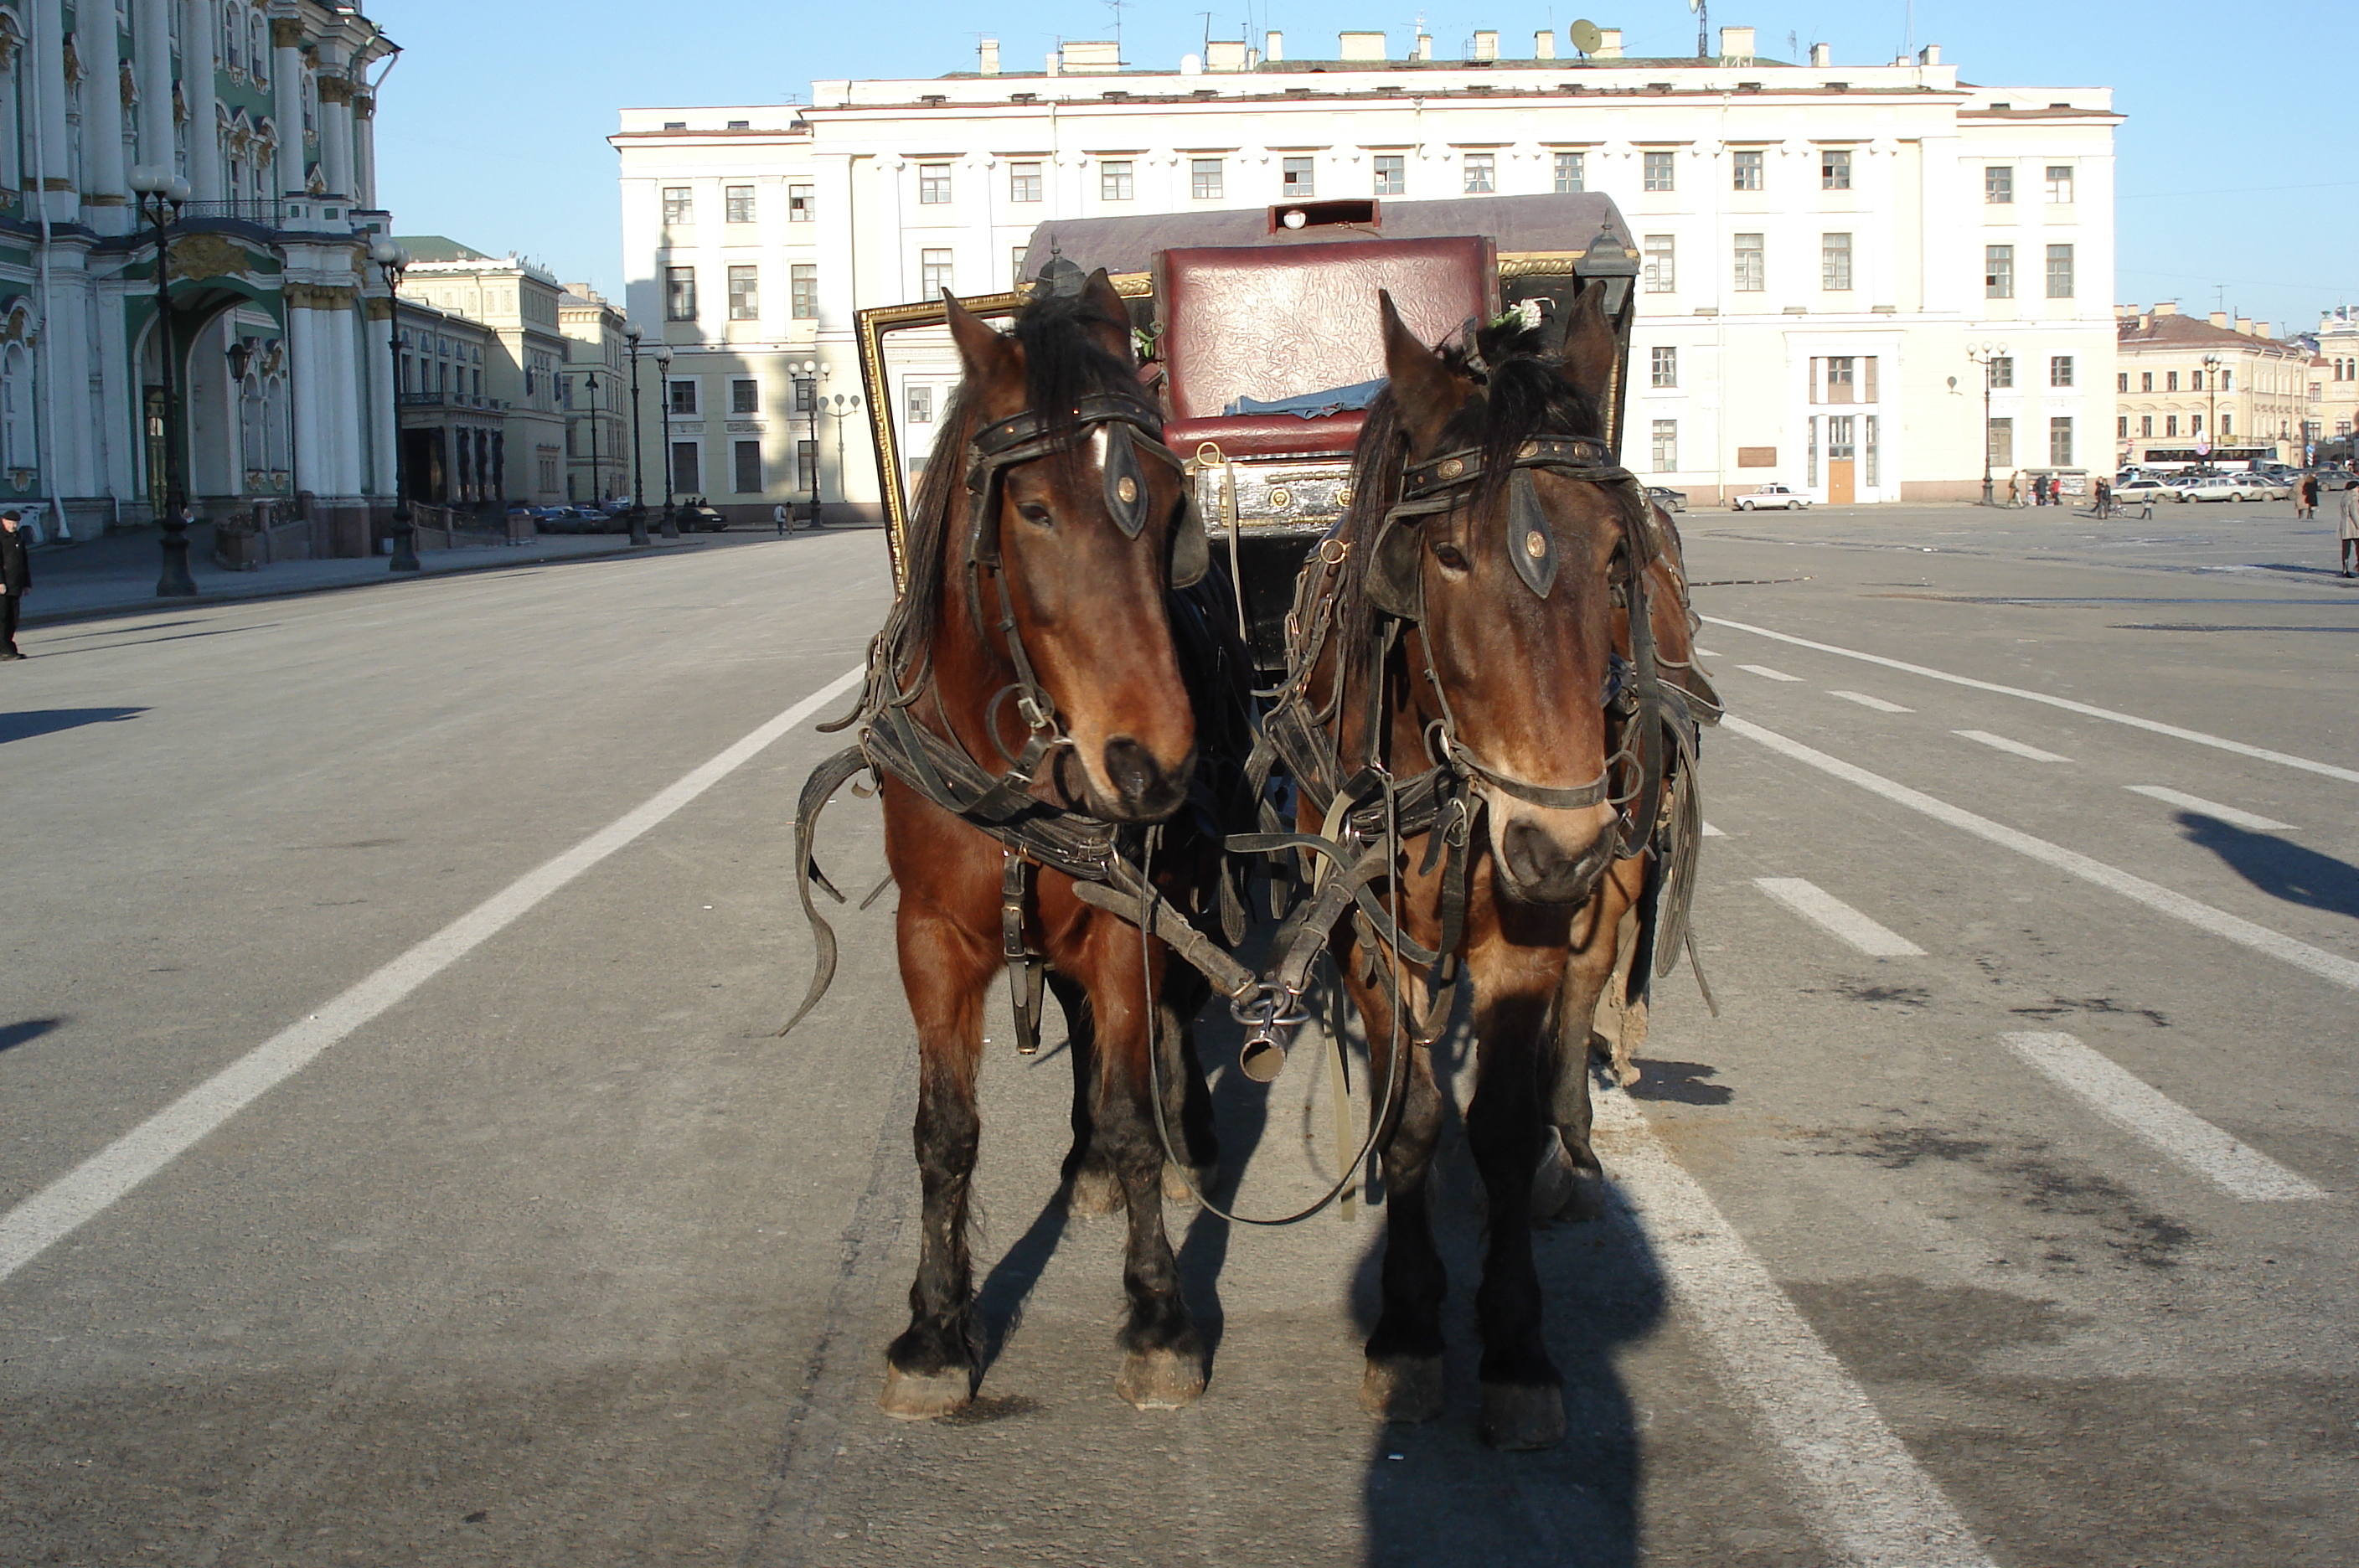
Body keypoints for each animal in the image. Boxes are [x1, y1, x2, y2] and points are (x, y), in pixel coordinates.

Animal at [849, 272, 1245, 1415]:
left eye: (1170, 497)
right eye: (1031, 510)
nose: (1152, 762)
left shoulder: (1126, 919)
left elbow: (1131, 1102)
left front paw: (1158, 1316)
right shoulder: (929, 939)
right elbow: (944, 1135)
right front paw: (936, 1329)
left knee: (1170, 1017)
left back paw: (1187, 1140)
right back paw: (1085, 1167)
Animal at [1273, 278, 1717, 1442]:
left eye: (1613, 555)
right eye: (1446, 555)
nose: (1551, 841)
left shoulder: (1532, 930)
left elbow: (1505, 1127)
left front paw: (1515, 1344)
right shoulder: (1368, 929)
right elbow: (1412, 1118)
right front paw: (1406, 1326)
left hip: (1618, 866)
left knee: (1585, 1001)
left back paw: (1578, 1155)